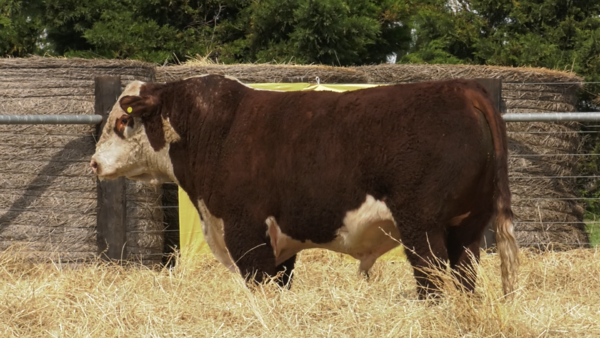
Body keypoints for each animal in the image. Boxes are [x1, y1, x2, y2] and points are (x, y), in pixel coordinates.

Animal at [91, 74, 516, 298]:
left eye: (121, 121)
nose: (94, 163)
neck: (213, 129)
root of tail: (462, 88)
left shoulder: (247, 233)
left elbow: (259, 284)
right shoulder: (279, 244)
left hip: (423, 227)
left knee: (433, 280)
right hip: (468, 230)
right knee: (463, 280)